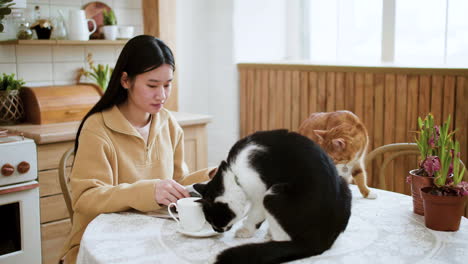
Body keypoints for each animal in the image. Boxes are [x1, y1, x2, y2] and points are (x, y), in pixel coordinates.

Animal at [194, 129, 352, 262]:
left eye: (211, 220)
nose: (216, 230)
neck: (234, 173)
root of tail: (319, 242)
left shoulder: (259, 194)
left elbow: (254, 215)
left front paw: (245, 230)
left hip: (273, 194)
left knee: (282, 237)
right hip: (344, 185)